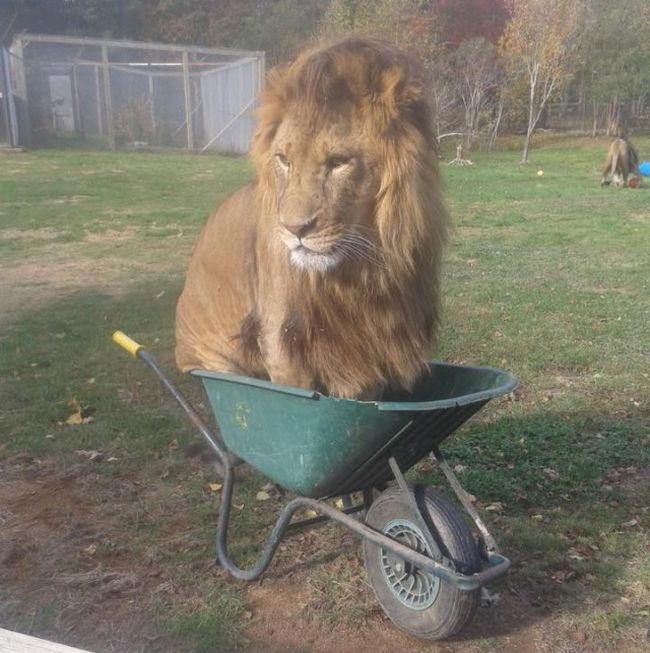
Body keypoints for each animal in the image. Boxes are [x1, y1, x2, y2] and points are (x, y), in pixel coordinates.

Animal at [175, 38, 448, 400]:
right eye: (283, 159)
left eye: (339, 162)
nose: (294, 229)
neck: (358, 273)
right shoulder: (283, 344)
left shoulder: (369, 354)